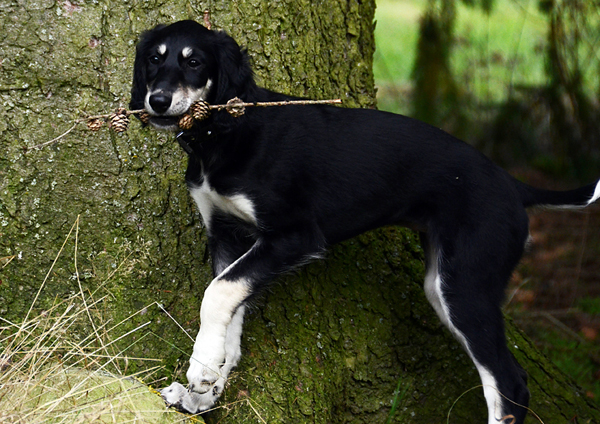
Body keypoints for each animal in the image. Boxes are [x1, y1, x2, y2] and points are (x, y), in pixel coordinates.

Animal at [130, 20, 600, 423]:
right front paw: (205, 389)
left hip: (466, 287)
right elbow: (230, 311)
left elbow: (217, 293)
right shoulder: (227, 234)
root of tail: (513, 185)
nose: (157, 101)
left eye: (194, 61)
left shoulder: (295, 236)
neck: (225, 134)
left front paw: (201, 371)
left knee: (509, 383)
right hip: (442, 284)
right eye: (154, 58)